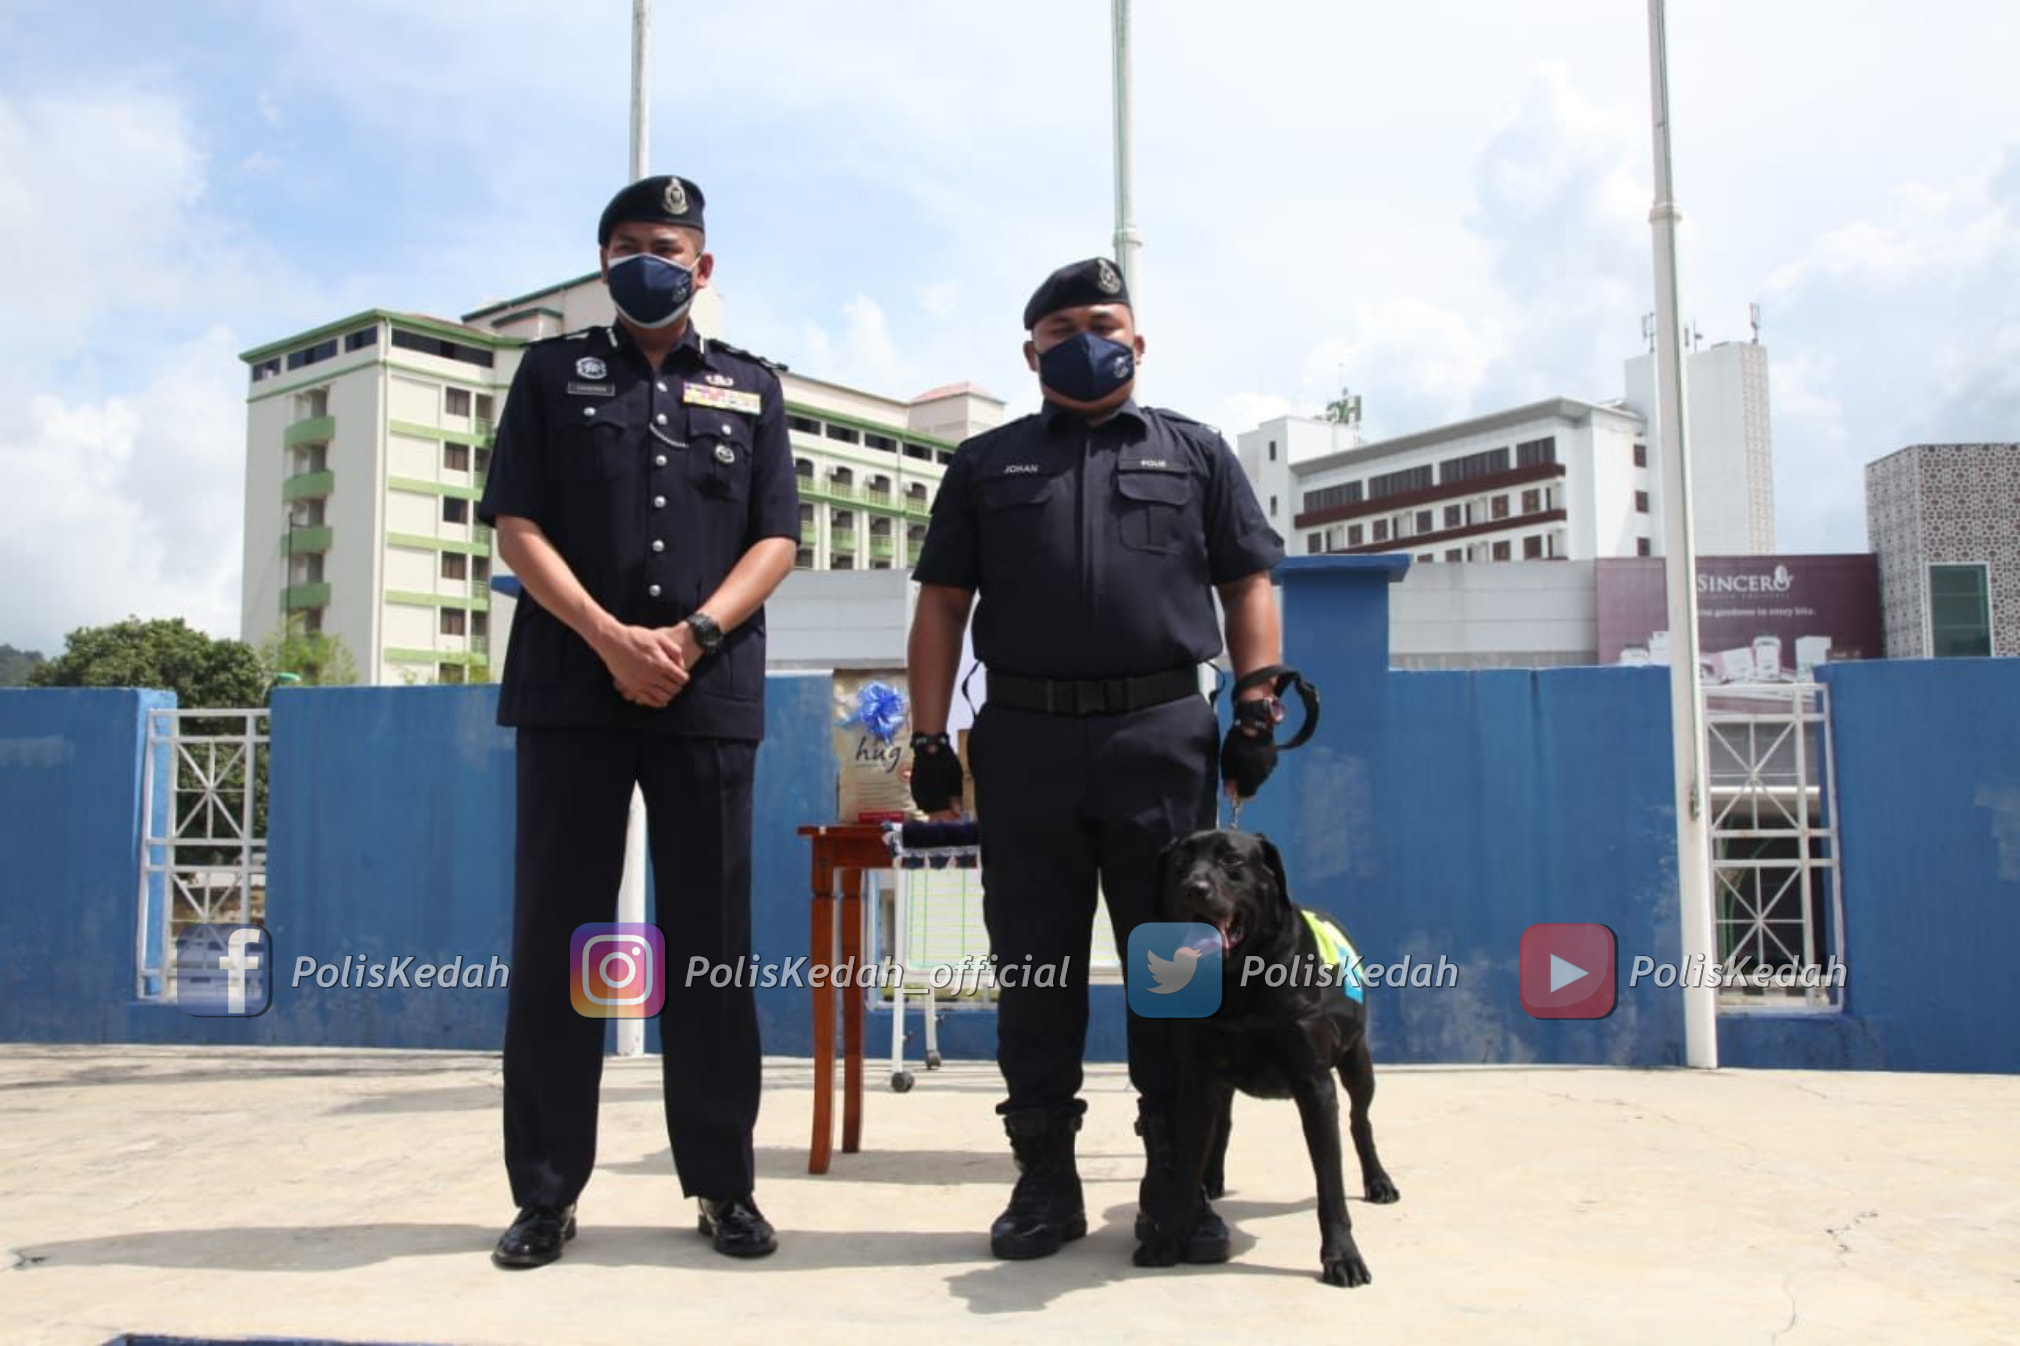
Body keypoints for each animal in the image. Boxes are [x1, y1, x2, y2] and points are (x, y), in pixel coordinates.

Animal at [1139, 828, 1405, 1277]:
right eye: (1180, 864)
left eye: (1232, 861)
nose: (1194, 888)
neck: (1239, 983)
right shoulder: (1198, 1082)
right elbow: (1185, 1172)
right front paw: (1168, 1239)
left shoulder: (1315, 1086)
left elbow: (1329, 1185)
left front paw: (1342, 1256)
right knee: (1223, 1124)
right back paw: (1213, 1179)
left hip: (1357, 1061)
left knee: (1360, 1121)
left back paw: (1378, 1181)